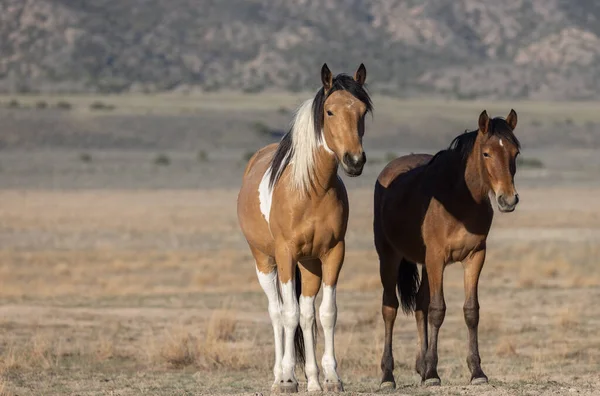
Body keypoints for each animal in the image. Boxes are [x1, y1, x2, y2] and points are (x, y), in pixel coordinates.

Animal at [238, 63, 370, 392]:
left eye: (362, 110)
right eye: (330, 111)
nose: (354, 160)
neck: (311, 191)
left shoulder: (334, 253)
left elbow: (326, 313)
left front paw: (331, 377)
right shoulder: (285, 255)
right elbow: (289, 314)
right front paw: (287, 377)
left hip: (309, 264)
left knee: (308, 314)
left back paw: (312, 379)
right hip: (265, 261)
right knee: (277, 312)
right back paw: (279, 376)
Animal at [376, 110, 520, 388]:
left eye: (515, 152)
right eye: (486, 153)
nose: (508, 200)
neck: (461, 199)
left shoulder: (475, 256)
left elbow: (470, 311)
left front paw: (477, 372)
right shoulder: (436, 258)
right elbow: (437, 310)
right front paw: (433, 373)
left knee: (419, 305)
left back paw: (420, 367)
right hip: (389, 256)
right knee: (390, 309)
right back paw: (388, 376)